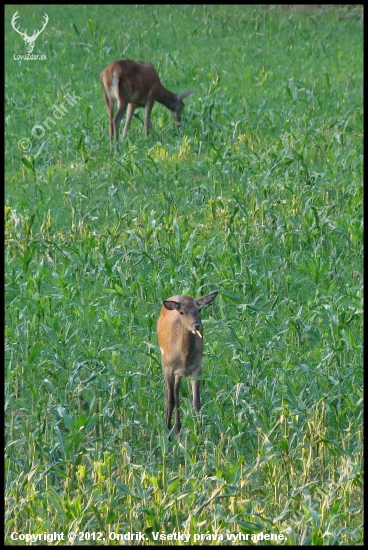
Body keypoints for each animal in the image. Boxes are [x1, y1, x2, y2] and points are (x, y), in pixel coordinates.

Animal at [156, 292, 218, 438]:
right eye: (182, 312)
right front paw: (167, 434)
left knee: (176, 389)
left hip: (180, 373)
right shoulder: (168, 368)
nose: (196, 325)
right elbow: (170, 400)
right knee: (171, 393)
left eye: (199, 309)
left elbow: (196, 402)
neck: (184, 357)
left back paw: (178, 428)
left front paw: (200, 432)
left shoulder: (196, 367)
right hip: (164, 362)